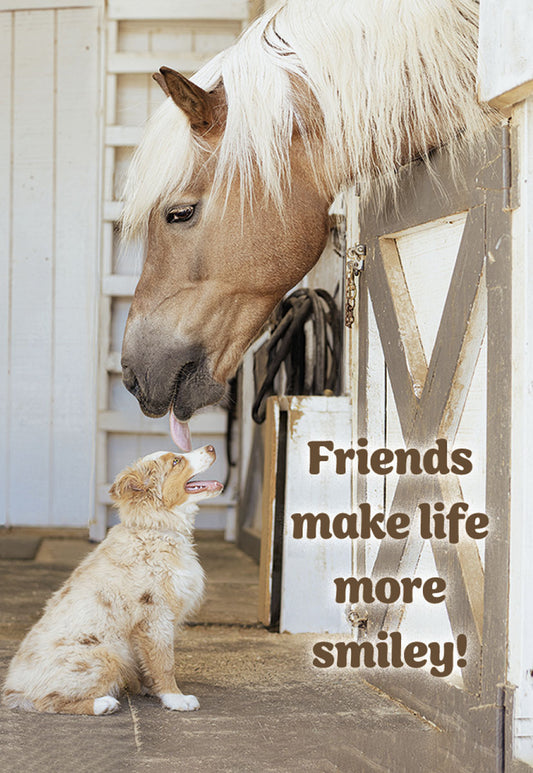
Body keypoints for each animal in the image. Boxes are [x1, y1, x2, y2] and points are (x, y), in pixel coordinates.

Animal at [0, 444, 220, 716]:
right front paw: (175, 698)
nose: (211, 447)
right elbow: (164, 662)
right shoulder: (155, 617)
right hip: (107, 654)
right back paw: (102, 704)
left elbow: (148, 662)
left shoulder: (145, 628)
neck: (154, 529)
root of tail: (14, 690)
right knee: (47, 701)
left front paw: (151, 688)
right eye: (176, 461)